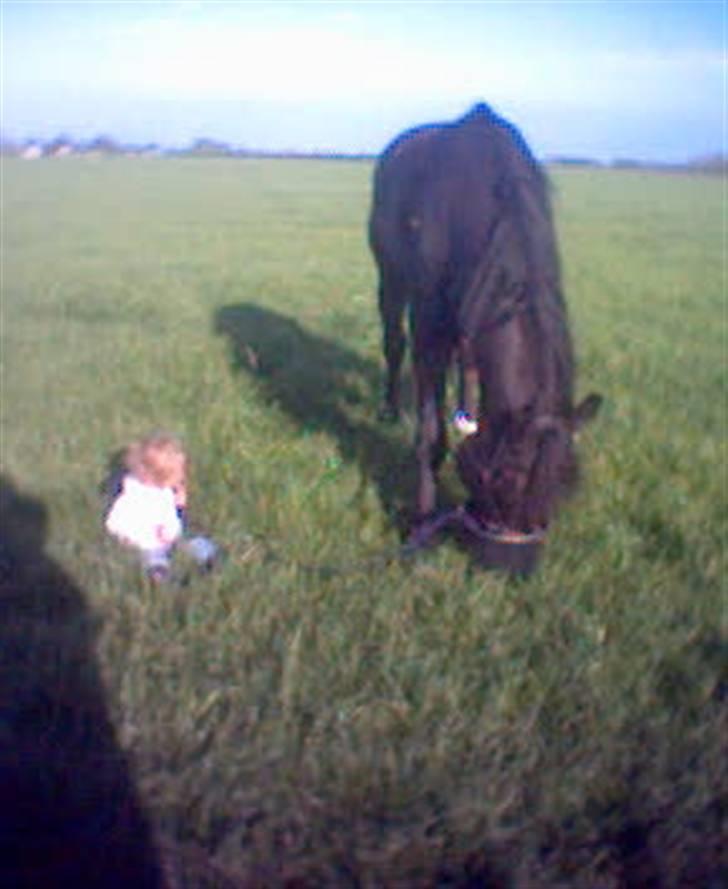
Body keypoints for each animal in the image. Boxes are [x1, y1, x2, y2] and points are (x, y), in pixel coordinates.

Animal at [370, 102, 604, 560]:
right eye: (504, 479)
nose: (517, 546)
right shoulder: (429, 323)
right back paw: (389, 407)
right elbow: (430, 431)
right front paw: (421, 520)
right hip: (391, 277)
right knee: (393, 342)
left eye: (565, 484)